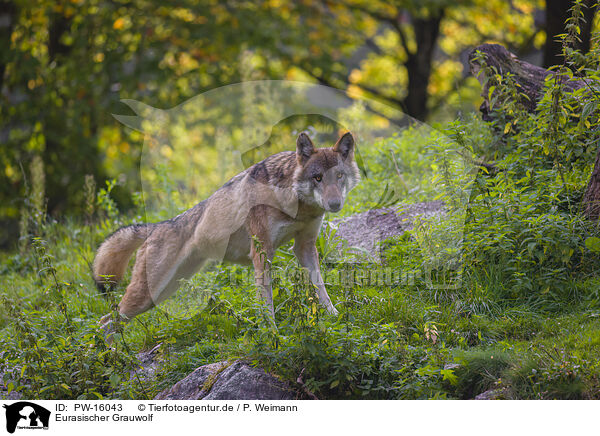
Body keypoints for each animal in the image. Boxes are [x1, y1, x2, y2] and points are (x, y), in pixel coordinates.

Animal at [91, 131, 358, 336]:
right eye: (317, 178)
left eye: (339, 176)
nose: (335, 204)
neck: (296, 206)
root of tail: (156, 226)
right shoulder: (261, 253)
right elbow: (267, 303)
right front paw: (272, 333)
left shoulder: (304, 247)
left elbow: (320, 287)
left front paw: (335, 315)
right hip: (146, 296)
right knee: (103, 322)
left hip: (162, 293)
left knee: (107, 322)